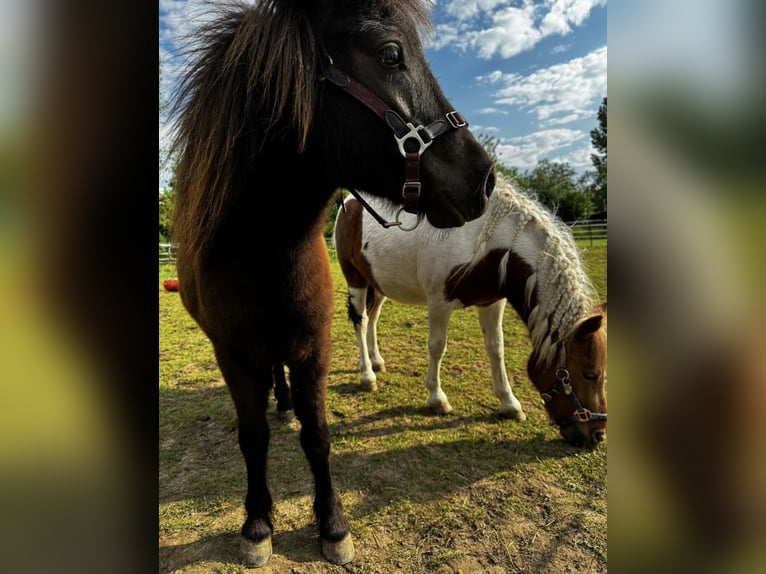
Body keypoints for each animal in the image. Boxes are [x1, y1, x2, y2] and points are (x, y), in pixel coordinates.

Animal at [168, 0, 496, 568]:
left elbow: (317, 435)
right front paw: (257, 524)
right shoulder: (231, 354)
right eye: (390, 54)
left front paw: (333, 524)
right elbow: (252, 438)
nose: (484, 177)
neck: (262, 256)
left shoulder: (313, 346)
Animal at [332, 176, 608, 450]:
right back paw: (367, 375)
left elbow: (496, 348)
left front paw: (509, 403)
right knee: (361, 322)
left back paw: (376, 361)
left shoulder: (492, 302)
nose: (597, 435)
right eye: (590, 374)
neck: (484, 242)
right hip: (355, 278)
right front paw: (437, 399)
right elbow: (437, 347)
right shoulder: (439, 302)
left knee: (373, 318)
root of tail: (350, 203)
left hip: (378, 283)